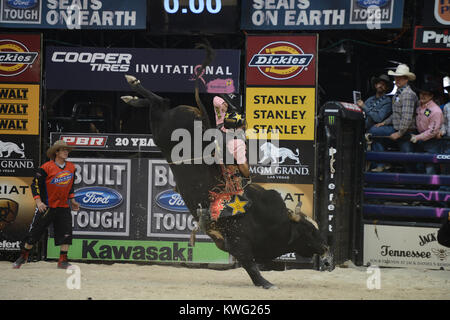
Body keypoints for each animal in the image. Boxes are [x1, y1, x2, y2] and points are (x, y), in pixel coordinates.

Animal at [121, 44, 332, 288]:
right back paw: (133, 85)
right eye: (309, 230)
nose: (326, 249)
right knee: (159, 102)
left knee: (160, 103)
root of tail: (203, 121)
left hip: (162, 129)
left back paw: (131, 97)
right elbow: (251, 267)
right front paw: (267, 283)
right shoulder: (239, 243)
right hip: (164, 129)